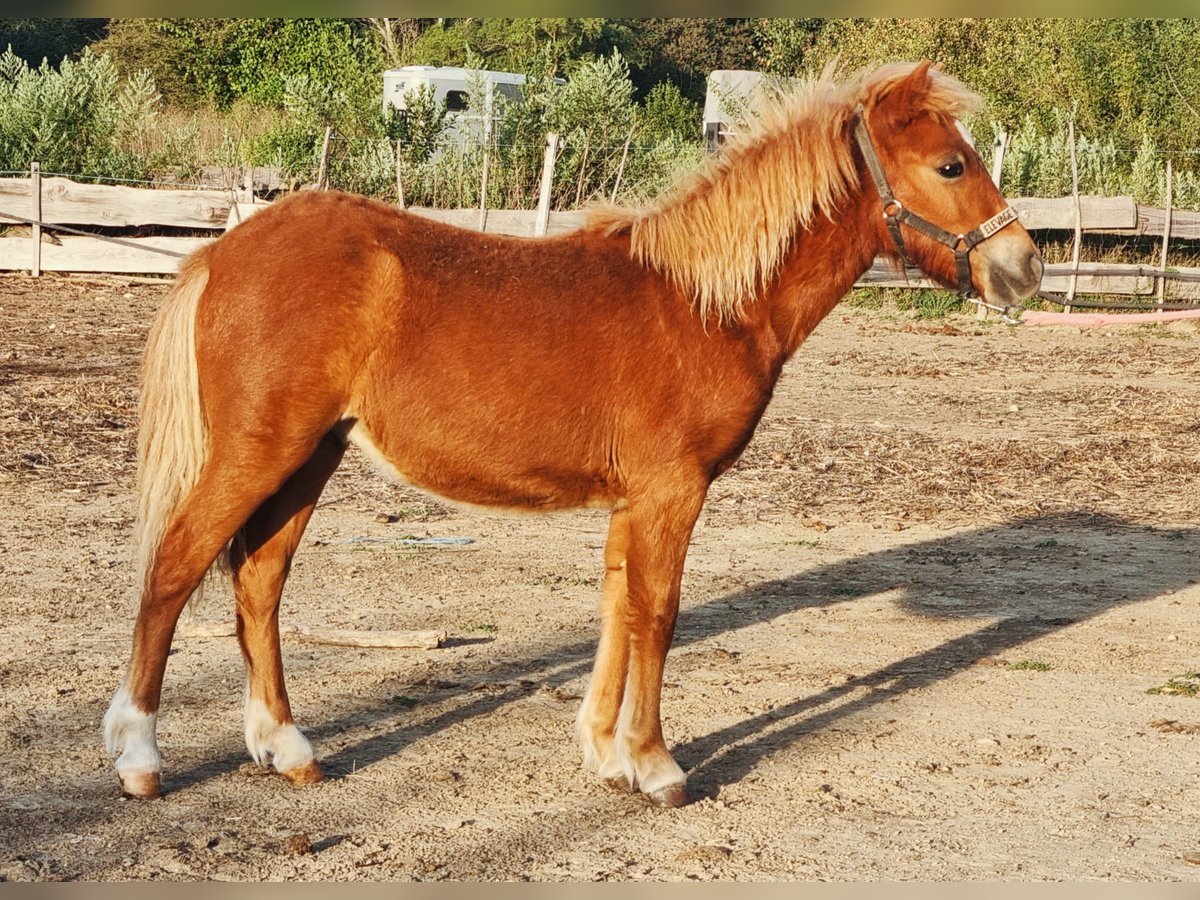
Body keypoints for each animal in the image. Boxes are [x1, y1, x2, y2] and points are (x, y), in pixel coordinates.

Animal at [103, 63, 1041, 811]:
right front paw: (657, 766)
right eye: (950, 164)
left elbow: (618, 607)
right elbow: (658, 614)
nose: (1025, 266)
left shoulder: (636, 500)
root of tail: (221, 252)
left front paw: (605, 753)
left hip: (311, 455)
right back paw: (141, 756)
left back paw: (286, 746)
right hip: (258, 451)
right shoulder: (674, 491)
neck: (706, 304)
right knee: (175, 567)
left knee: (259, 581)